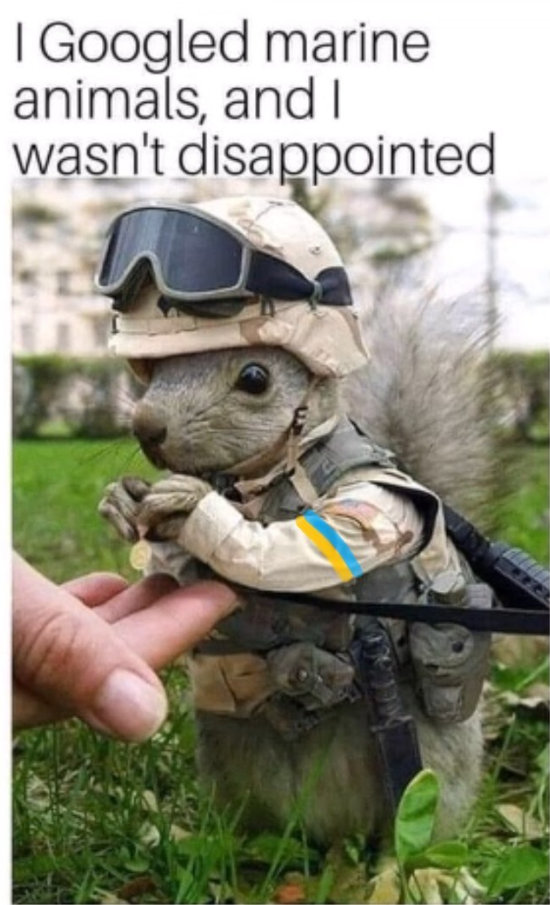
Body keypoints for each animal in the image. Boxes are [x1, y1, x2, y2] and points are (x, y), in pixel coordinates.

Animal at [97, 197, 491, 846]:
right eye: (152, 371)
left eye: (255, 378)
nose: (146, 427)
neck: (262, 481)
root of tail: (325, 832)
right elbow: (171, 576)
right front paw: (122, 502)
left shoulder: (373, 499)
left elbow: (303, 550)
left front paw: (190, 506)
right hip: (226, 758)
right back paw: (216, 841)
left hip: (430, 774)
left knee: (416, 825)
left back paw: (406, 862)